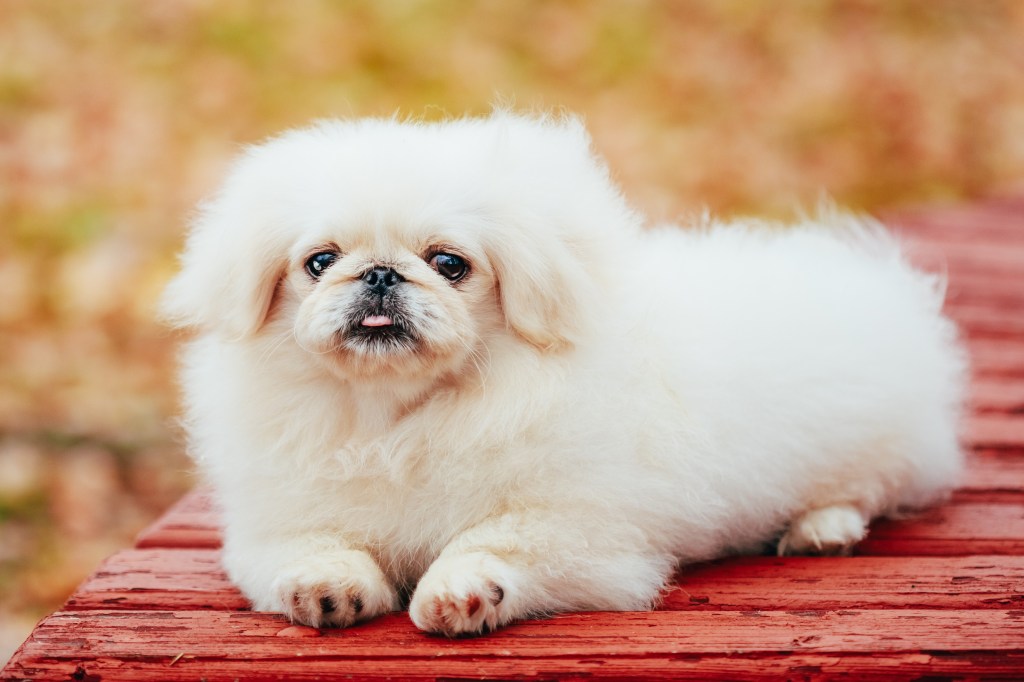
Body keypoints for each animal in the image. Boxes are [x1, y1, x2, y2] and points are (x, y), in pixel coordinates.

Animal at [161, 110, 966, 630]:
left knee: (870, 488)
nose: (382, 274)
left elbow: (494, 540)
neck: (401, 418)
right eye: (320, 261)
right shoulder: (277, 523)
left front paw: (462, 592)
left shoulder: (584, 532)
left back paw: (822, 527)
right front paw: (325, 587)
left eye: (449, 264)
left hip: (875, 443)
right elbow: (314, 548)